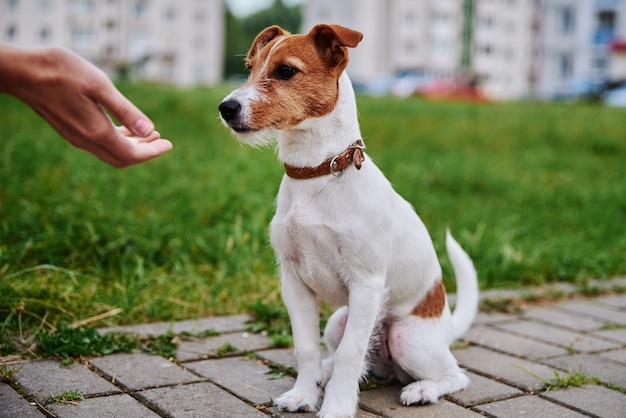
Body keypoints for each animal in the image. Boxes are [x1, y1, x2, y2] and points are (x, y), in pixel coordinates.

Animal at [219, 23, 478, 418]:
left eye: (285, 71)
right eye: (250, 68)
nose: (225, 107)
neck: (318, 173)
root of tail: (447, 326)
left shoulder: (366, 286)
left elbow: (351, 355)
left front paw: (336, 407)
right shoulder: (294, 283)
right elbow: (306, 348)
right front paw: (304, 394)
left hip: (406, 337)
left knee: (455, 375)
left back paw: (422, 389)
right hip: (338, 321)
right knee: (350, 358)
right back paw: (326, 375)